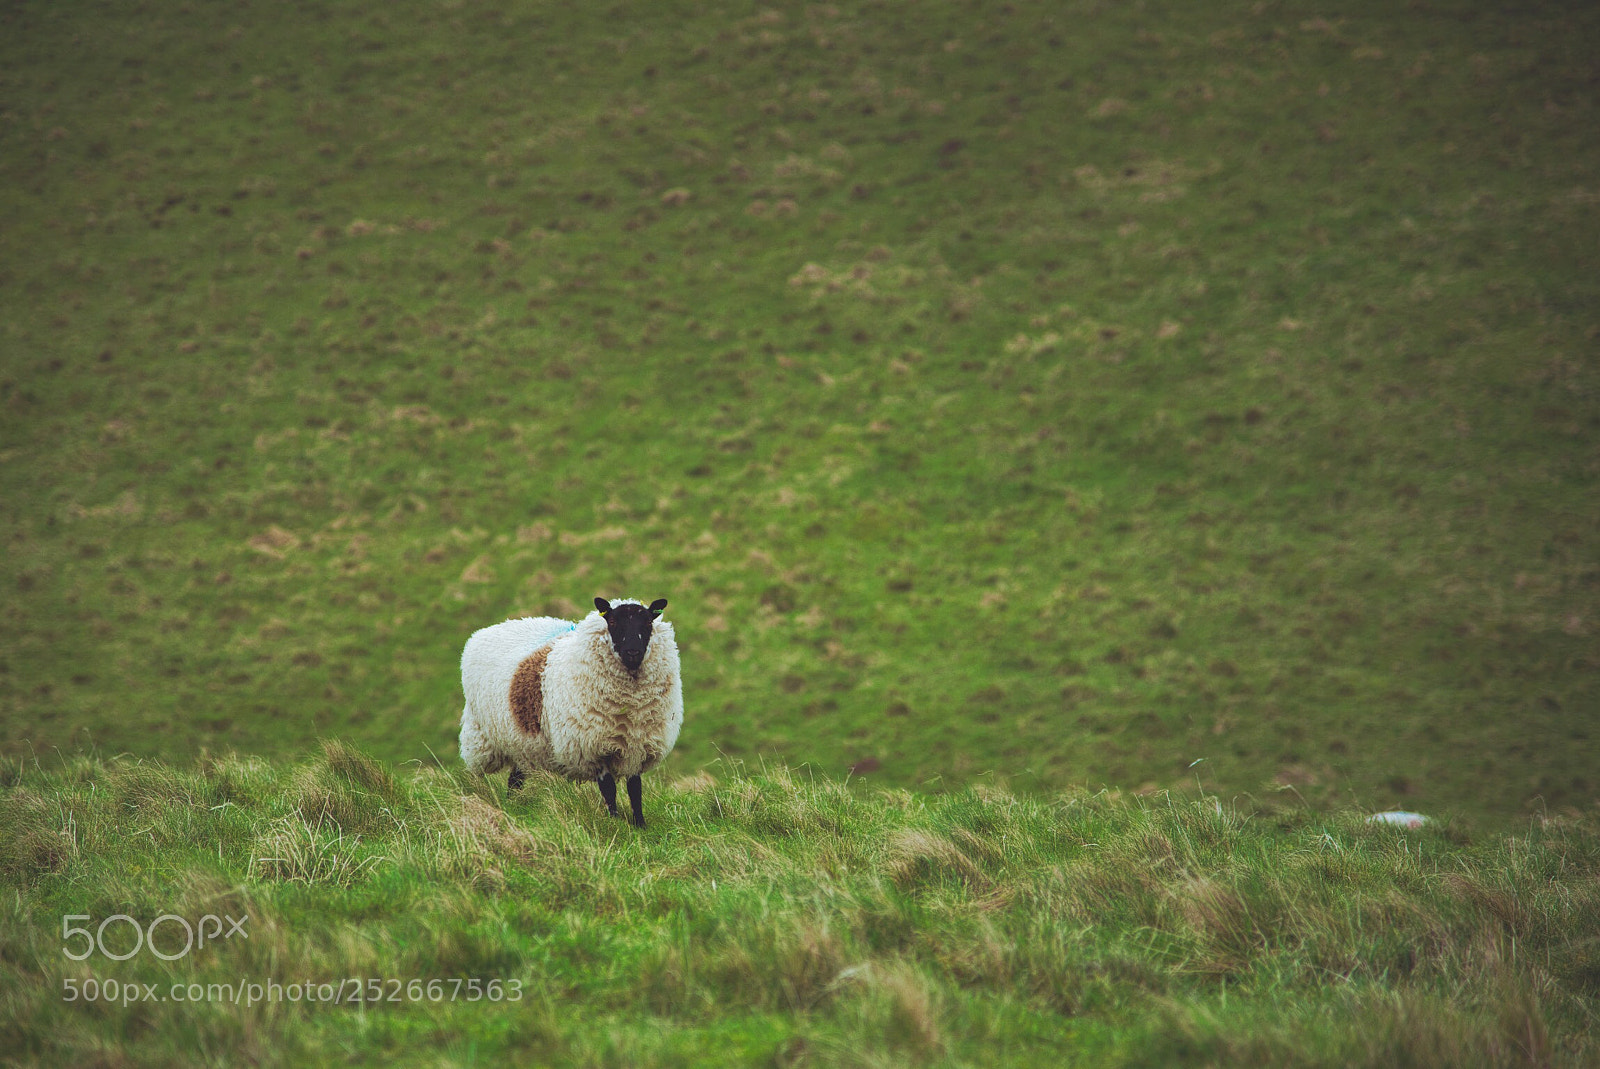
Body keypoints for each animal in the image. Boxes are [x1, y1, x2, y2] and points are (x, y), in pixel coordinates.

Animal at [458, 596, 680, 827]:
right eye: (612, 622)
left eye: (648, 622)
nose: (633, 652)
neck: (630, 708)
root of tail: (484, 632)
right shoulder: (592, 748)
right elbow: (609, 790)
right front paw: (614, 821)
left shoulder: (637, 747)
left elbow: (635, 789)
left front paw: (640, 825)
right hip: (481, 738)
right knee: (486, 774)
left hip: (523, 745)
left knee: (515, 778)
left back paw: (513, 804)